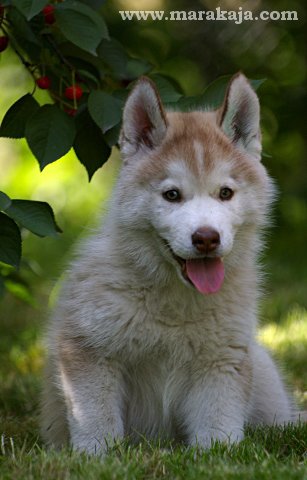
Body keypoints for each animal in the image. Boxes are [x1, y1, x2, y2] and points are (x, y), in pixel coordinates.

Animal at [40, 73, 294, 452]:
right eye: (172, 195)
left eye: (225, 193)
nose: (206, 238)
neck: (173, 300)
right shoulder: (87, 351)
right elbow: (96, 420)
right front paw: (98, 456)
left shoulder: (222, 362)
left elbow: (218, 432)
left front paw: (216, 454)